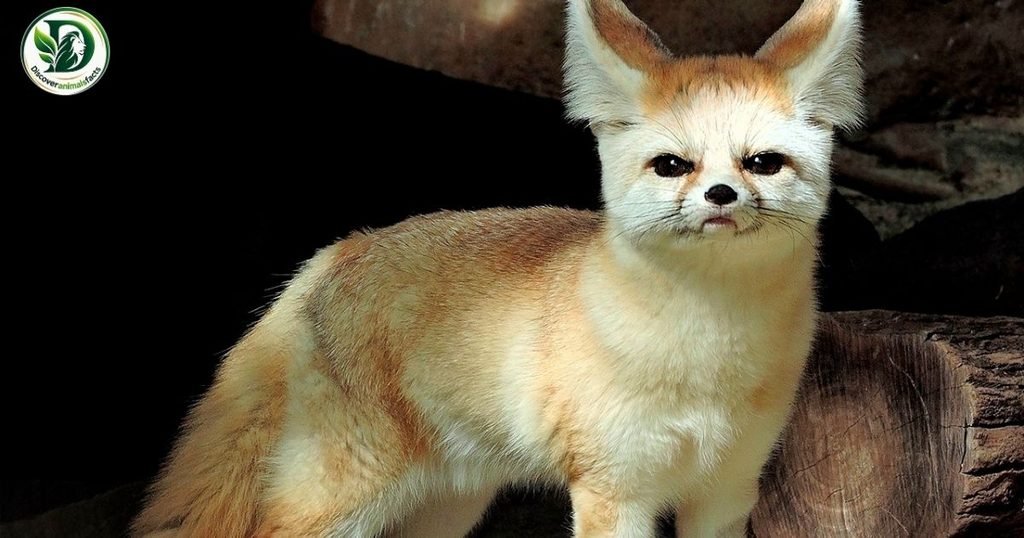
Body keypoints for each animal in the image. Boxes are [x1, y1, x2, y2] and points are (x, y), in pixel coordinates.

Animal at [133, 0, 864, 536]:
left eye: (761, 163)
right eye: (672, 166)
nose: (720, 196)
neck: (708, 348)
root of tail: (342, 247)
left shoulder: (727, 489)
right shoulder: (614, 490)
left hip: (445, 509)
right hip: (347, 499)